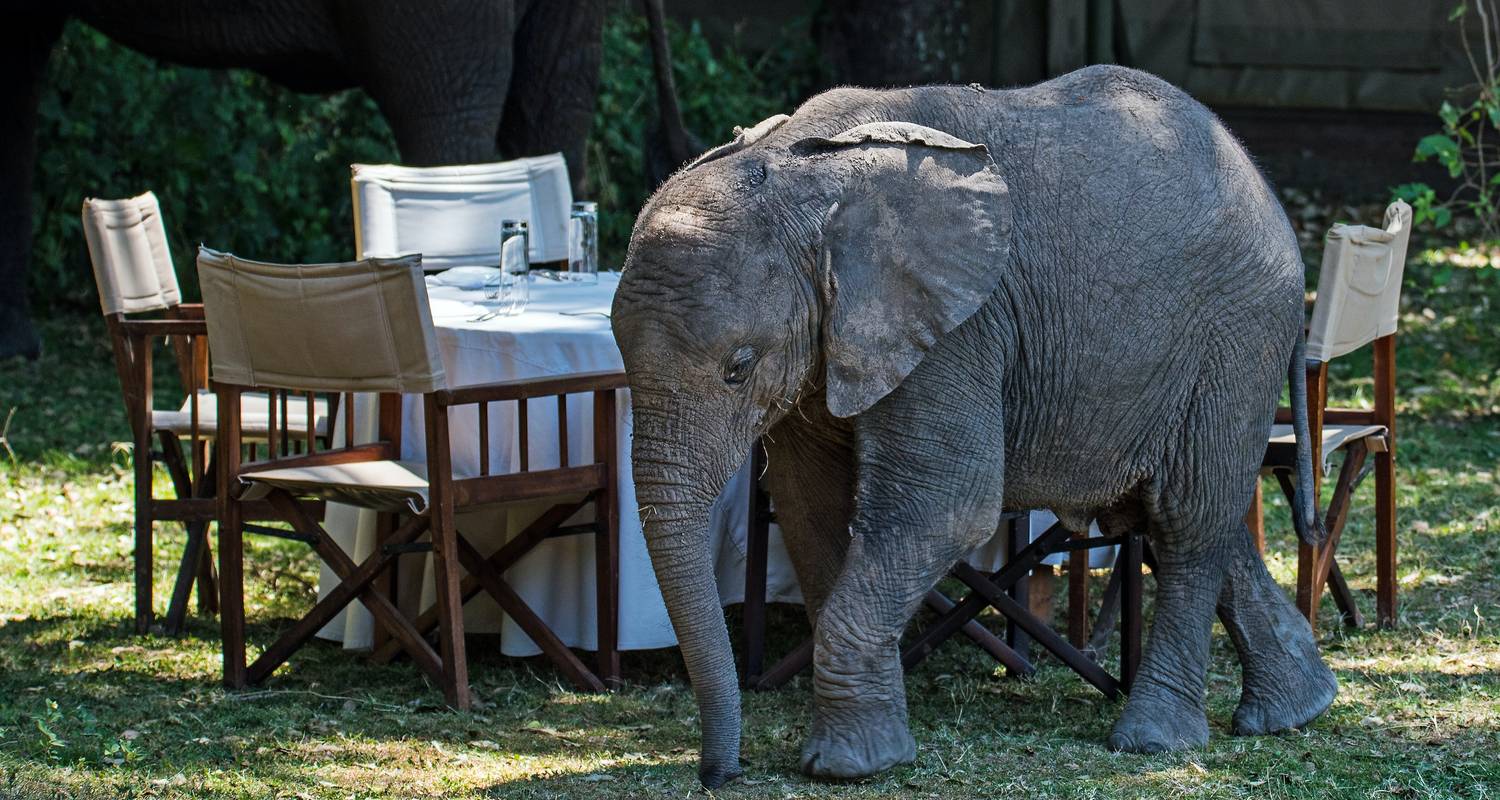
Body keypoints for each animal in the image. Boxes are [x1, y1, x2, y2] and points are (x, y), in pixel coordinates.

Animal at [609, 63, 1338, 786]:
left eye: (738, 367)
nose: (722, 774)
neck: (801, 167)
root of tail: (1265, 190)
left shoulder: (961, 327)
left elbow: (944, 509)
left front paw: (846, 768)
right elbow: (811, 509)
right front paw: (875, 752)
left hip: (1236, 335)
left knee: (1187, 520)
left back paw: (1154, 741)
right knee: (1180, 515)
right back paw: (1295, 711)